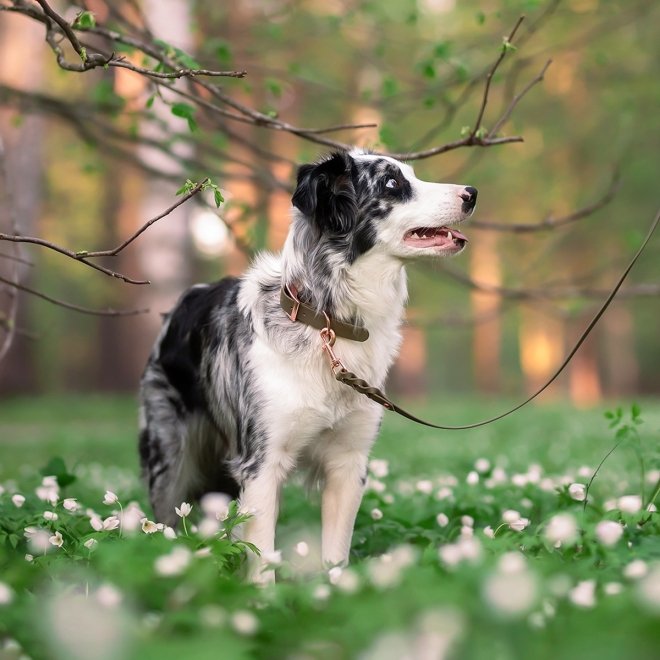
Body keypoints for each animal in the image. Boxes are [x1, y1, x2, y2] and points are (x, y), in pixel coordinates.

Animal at [139, 151, 476, 584]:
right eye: (391, 184)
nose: (472, 193)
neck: (327, 322)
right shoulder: (261, 463)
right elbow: (261, 554)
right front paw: (262, 595)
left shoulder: (348, 463)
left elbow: (335, 554)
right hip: (170, 459)